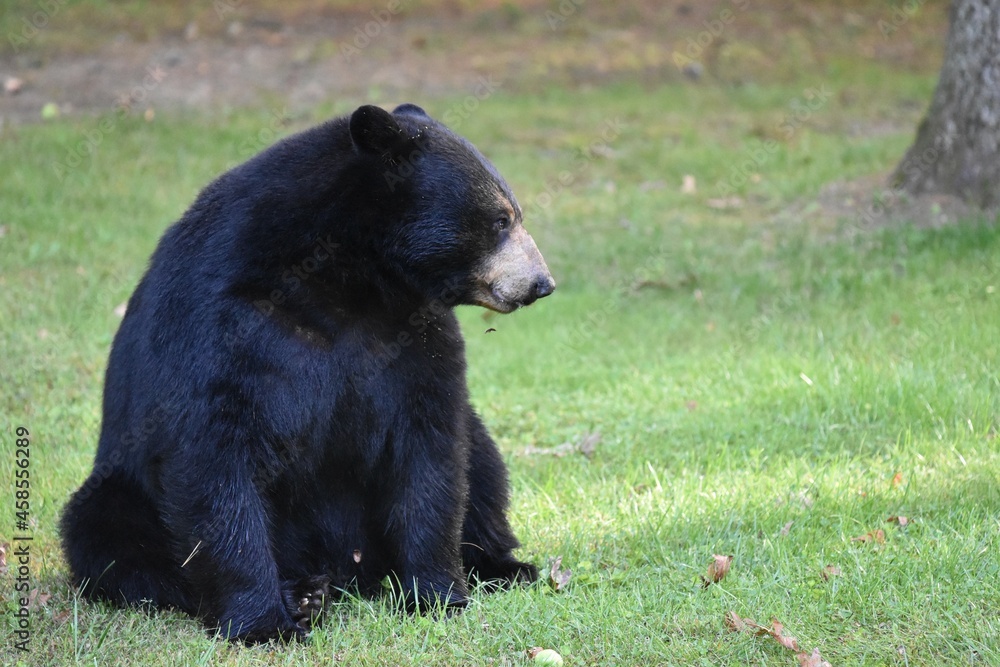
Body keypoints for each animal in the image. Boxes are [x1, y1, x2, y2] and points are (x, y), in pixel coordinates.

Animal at [59, 102, 555, 643]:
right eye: (500, 219)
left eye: (513, 214)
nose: (542, 283)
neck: (348, 279)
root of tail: (351, 572)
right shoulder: (221, 325)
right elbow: (215, 454)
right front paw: (264, 623)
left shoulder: (413, 330)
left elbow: (430, 446)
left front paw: (436, 595)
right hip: (119, 488)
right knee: (112, 539)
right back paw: (302, 593)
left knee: (482, 465)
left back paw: (504, 567)